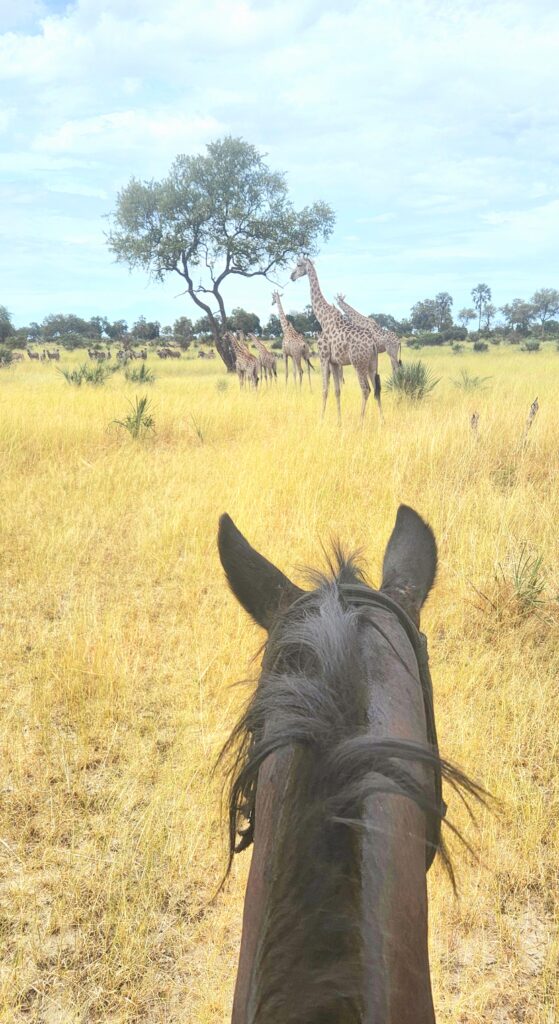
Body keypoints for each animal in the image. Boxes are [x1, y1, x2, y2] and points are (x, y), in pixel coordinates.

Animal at [286, 258, 382, 421]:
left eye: (298, 265)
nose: (292, 276)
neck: (323, 318)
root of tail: (373, 345)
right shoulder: (335, 362)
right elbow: (337, 391)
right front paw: (339, 421)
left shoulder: (323, 357)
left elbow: (324, 389)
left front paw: (321, 419)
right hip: (372, 365)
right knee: (377, 390)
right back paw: (383, 421)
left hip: (358, 364)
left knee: (365, 389)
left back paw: (360, 421)